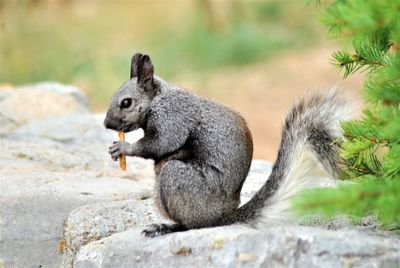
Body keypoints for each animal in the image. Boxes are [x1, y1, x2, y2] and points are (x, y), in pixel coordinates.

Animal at [104, 53, 352, 238]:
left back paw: (167, 227)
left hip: (178, 180)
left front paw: (124, 148)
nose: (107, 124)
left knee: (192, 225)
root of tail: (223, 218)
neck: (157, 99)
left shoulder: (173, 117)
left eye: (126, 102)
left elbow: (161, 143)